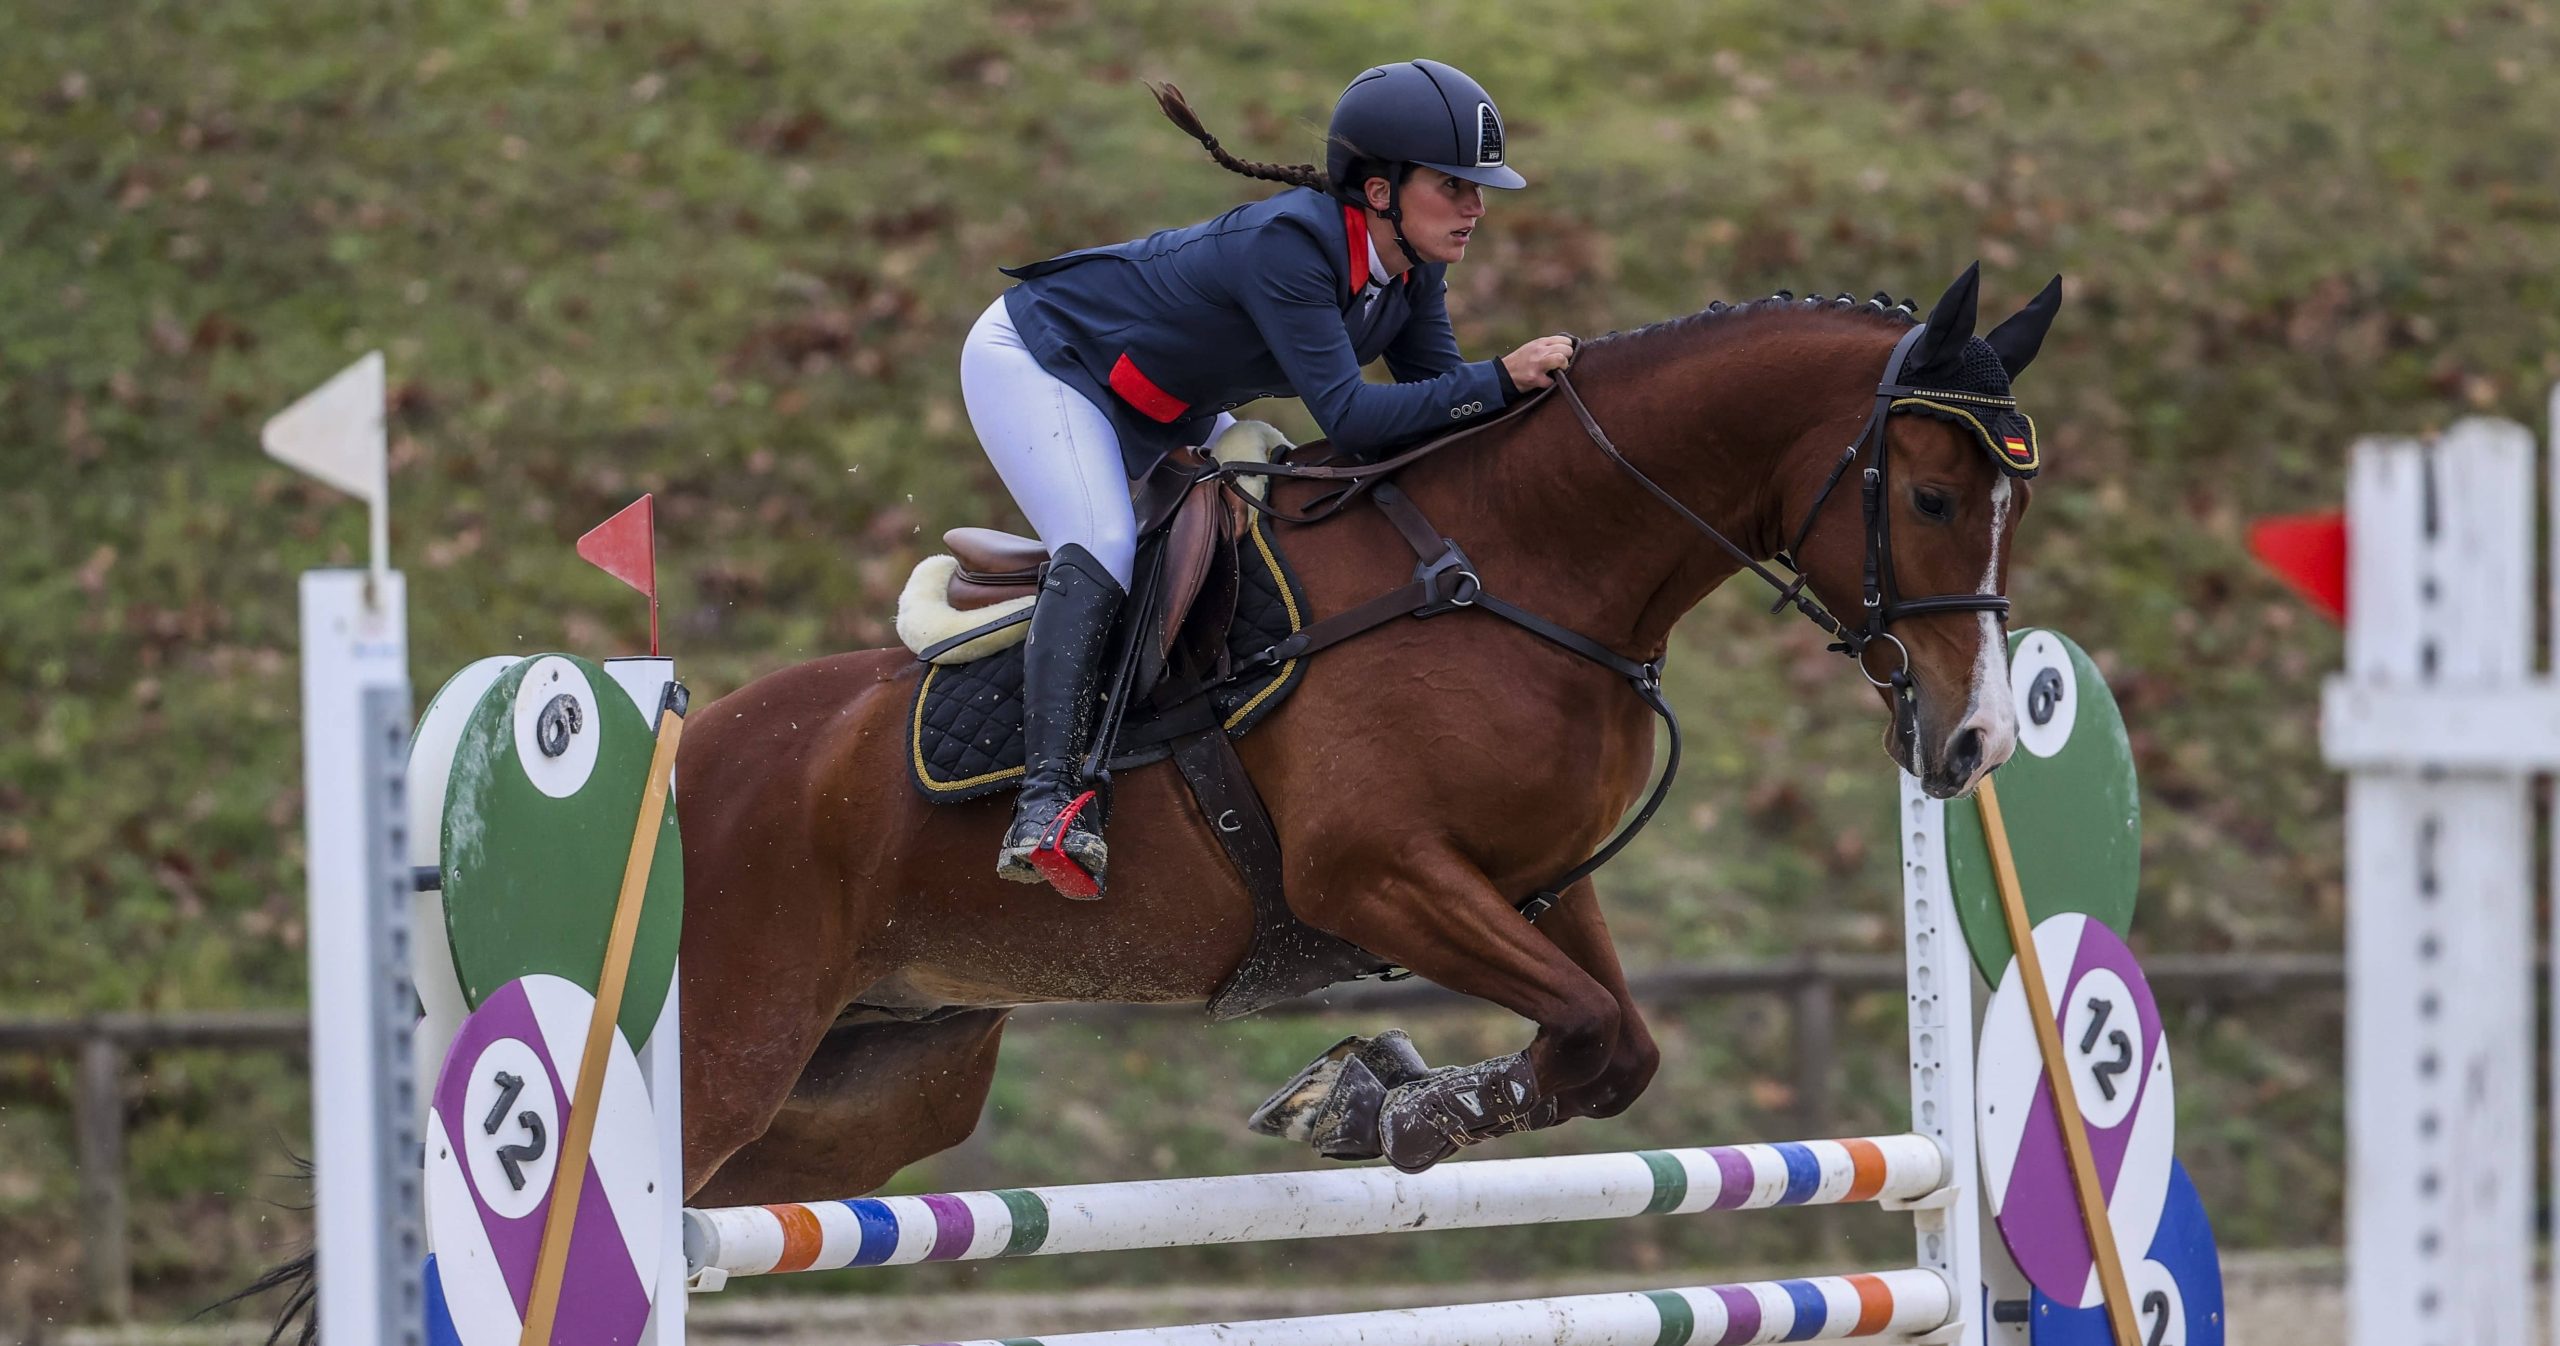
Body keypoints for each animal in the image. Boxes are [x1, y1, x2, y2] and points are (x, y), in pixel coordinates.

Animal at [670, 266, 2048, 1212]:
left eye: (2011, 505)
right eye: (1931, 495)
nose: (1973, 740)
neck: (1514, 566)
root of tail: (690, 752)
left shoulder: (1534, 881)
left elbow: (1615, 1047)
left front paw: (1363, 1090)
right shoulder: (1374, 876)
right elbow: (1584, 1028)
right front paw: (1377, 1107)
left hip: (874, 1085)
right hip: (737, 1047)